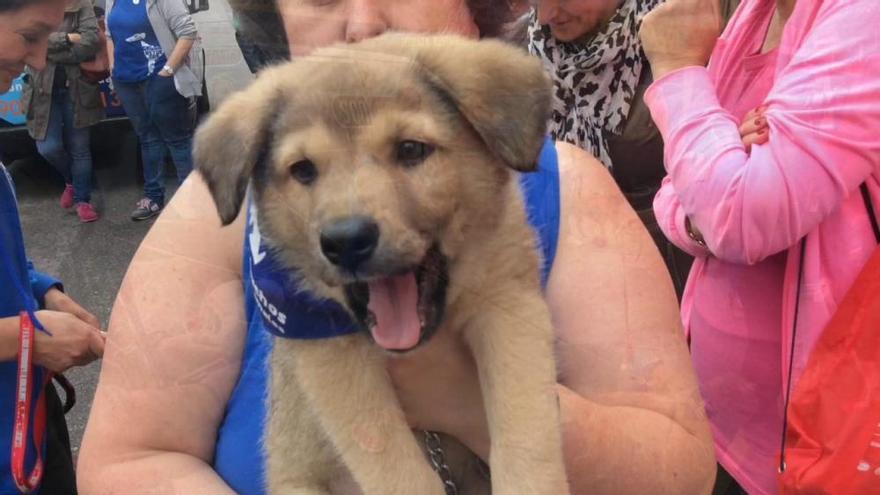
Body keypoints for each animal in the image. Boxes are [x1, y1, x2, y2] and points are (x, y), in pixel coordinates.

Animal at [196, 33, 572, 494]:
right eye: (303, 170)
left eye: (410, 149)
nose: (346, 241)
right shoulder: (330, 356)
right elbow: (393, 465)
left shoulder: (509, 303)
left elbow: (526, 430)